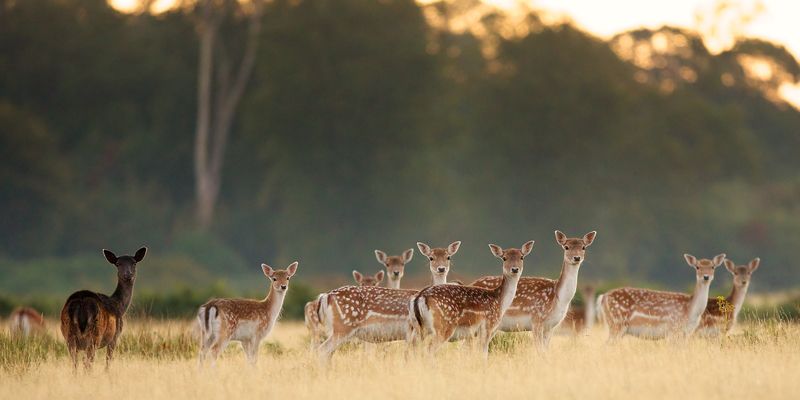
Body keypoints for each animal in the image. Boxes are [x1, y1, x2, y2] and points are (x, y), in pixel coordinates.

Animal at [316, 241, 460, 360]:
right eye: (431, 257)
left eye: (448, 257)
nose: (441, 268)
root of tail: (325, 296)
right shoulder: (411, 328)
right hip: (343, 326)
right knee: (322, 350)